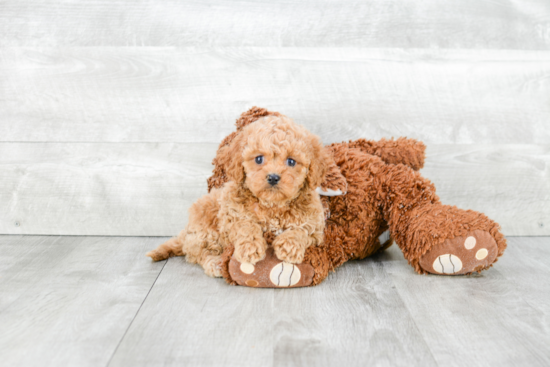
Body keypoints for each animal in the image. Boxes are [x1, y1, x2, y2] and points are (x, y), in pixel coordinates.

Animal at [147, 115, 332, 276]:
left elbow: (302, 230)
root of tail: (186, 232)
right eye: (259, 159)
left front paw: (289, 245)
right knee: (200, 253)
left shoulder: (316, 226)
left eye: (291, 161)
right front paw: (250, 247)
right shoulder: (231, 216)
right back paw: (215, 263)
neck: (271, 205)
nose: (273, 177)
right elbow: (245, 226)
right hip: (205, 230)